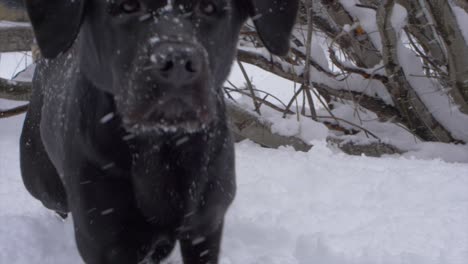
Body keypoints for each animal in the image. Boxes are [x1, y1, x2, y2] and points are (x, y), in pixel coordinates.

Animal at [20, 1, 298, 262]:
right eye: (128, 6)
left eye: (208, 7)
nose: (177, 62)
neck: (162, 148)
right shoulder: (105, 239)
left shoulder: (205, 225)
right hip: (43, 184)